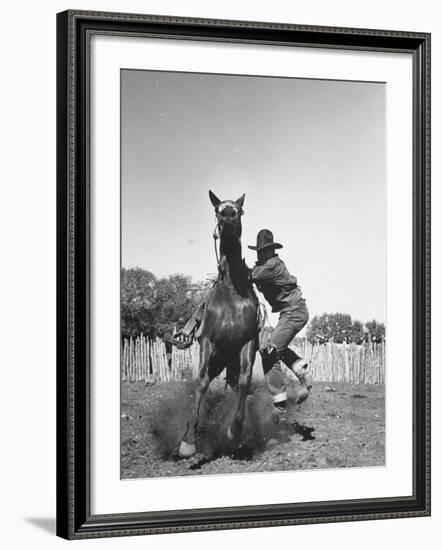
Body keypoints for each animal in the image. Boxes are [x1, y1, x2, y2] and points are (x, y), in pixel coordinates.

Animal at [178, 192, 258, 460]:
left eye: (239, 210)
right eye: (217, 210)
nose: (228, 216)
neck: (231, 292)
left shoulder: (247, 343)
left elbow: (244, 381)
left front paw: (235, 430)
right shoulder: (208, 341)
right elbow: (202, 381)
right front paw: (188, 441)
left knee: (235, 385)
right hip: (218, 359)